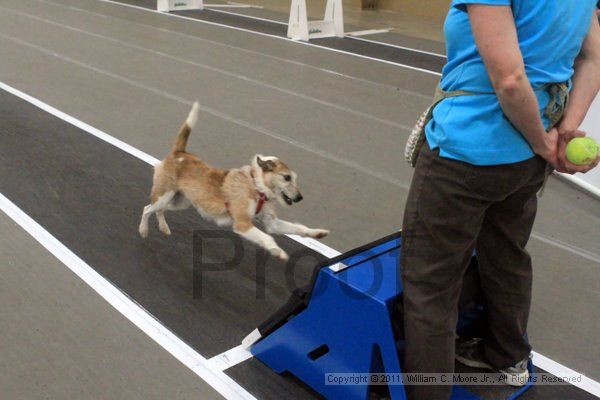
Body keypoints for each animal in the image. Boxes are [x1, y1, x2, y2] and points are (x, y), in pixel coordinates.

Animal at [139, 101, 330, 260]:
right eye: (287, 177)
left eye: (294, 178)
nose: (300, 198)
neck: (256, 186)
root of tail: (180, 153)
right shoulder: (243, 224)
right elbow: (267, 237)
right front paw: (278, 252)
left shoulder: (272, 223)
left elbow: (298, 228)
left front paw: (318, 233)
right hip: (165, 195)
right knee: (147, 208)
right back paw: (143, 230)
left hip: (180, 202)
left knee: (159, 210)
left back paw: (164, 227)